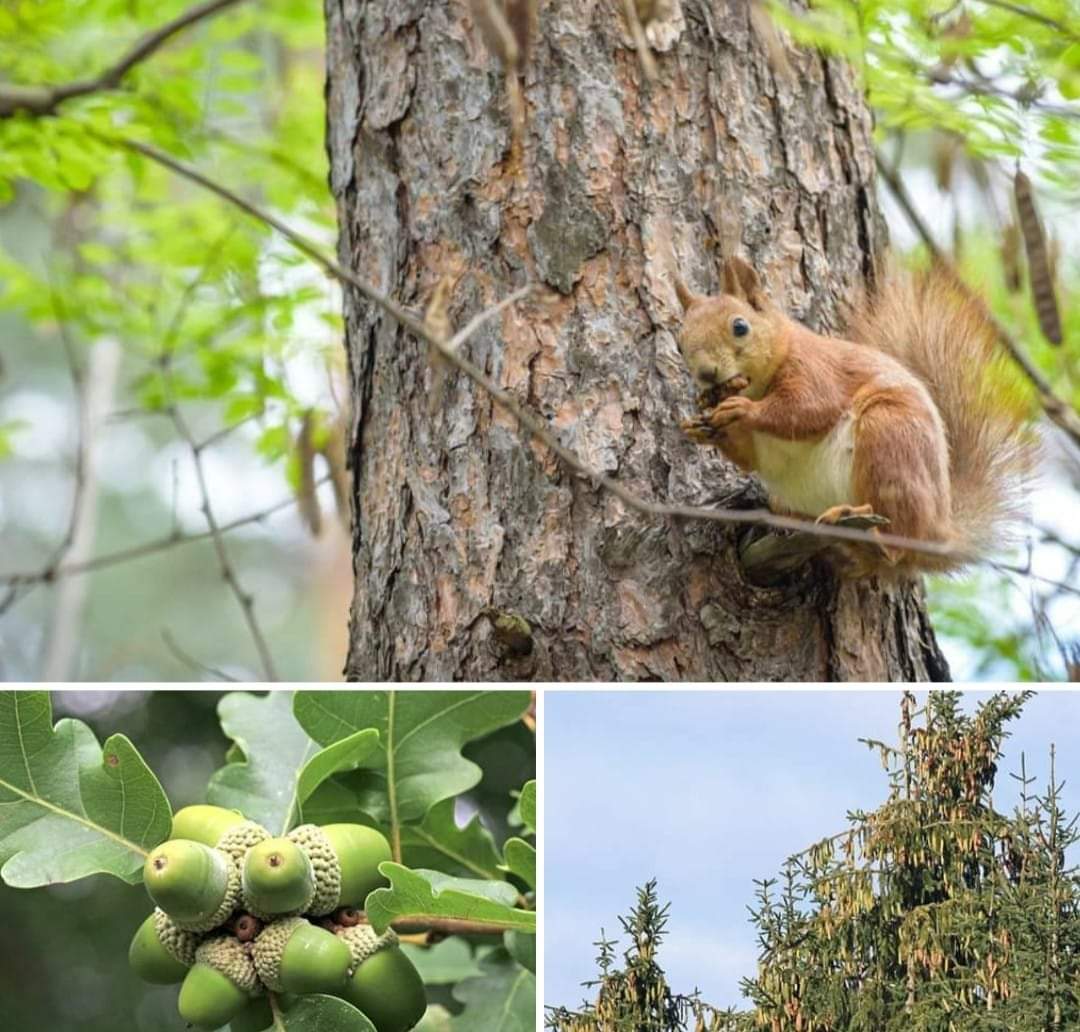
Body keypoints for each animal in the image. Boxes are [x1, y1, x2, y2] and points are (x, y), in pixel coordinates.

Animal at [669, 255, 1032, 578]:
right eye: (679, 343)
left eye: (740, 326)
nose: (706, 374)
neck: (758, 384)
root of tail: (940, 532)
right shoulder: (763, 448)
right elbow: (752, 458)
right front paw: (702, 428)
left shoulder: (816, 368)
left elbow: (809, 409)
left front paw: (743, 411)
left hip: (889, 437)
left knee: (897, 544)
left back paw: (865, 528)